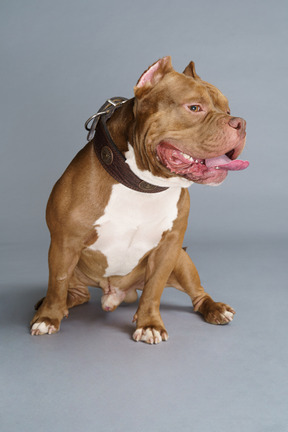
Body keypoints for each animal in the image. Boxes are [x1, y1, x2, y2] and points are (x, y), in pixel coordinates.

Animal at [30, 56, 249, 344]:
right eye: (194, 107)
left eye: (228, 109)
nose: (240, 123)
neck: (142, 184)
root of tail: (115, 293)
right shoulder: (65, 243)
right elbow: (57, 281)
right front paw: (48, 317)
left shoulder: (168, 248)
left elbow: (154, 289)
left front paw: (149, 324)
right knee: (75, 291)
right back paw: (53, 306)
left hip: (182, 260)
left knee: (198, 293)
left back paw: (215, 308)